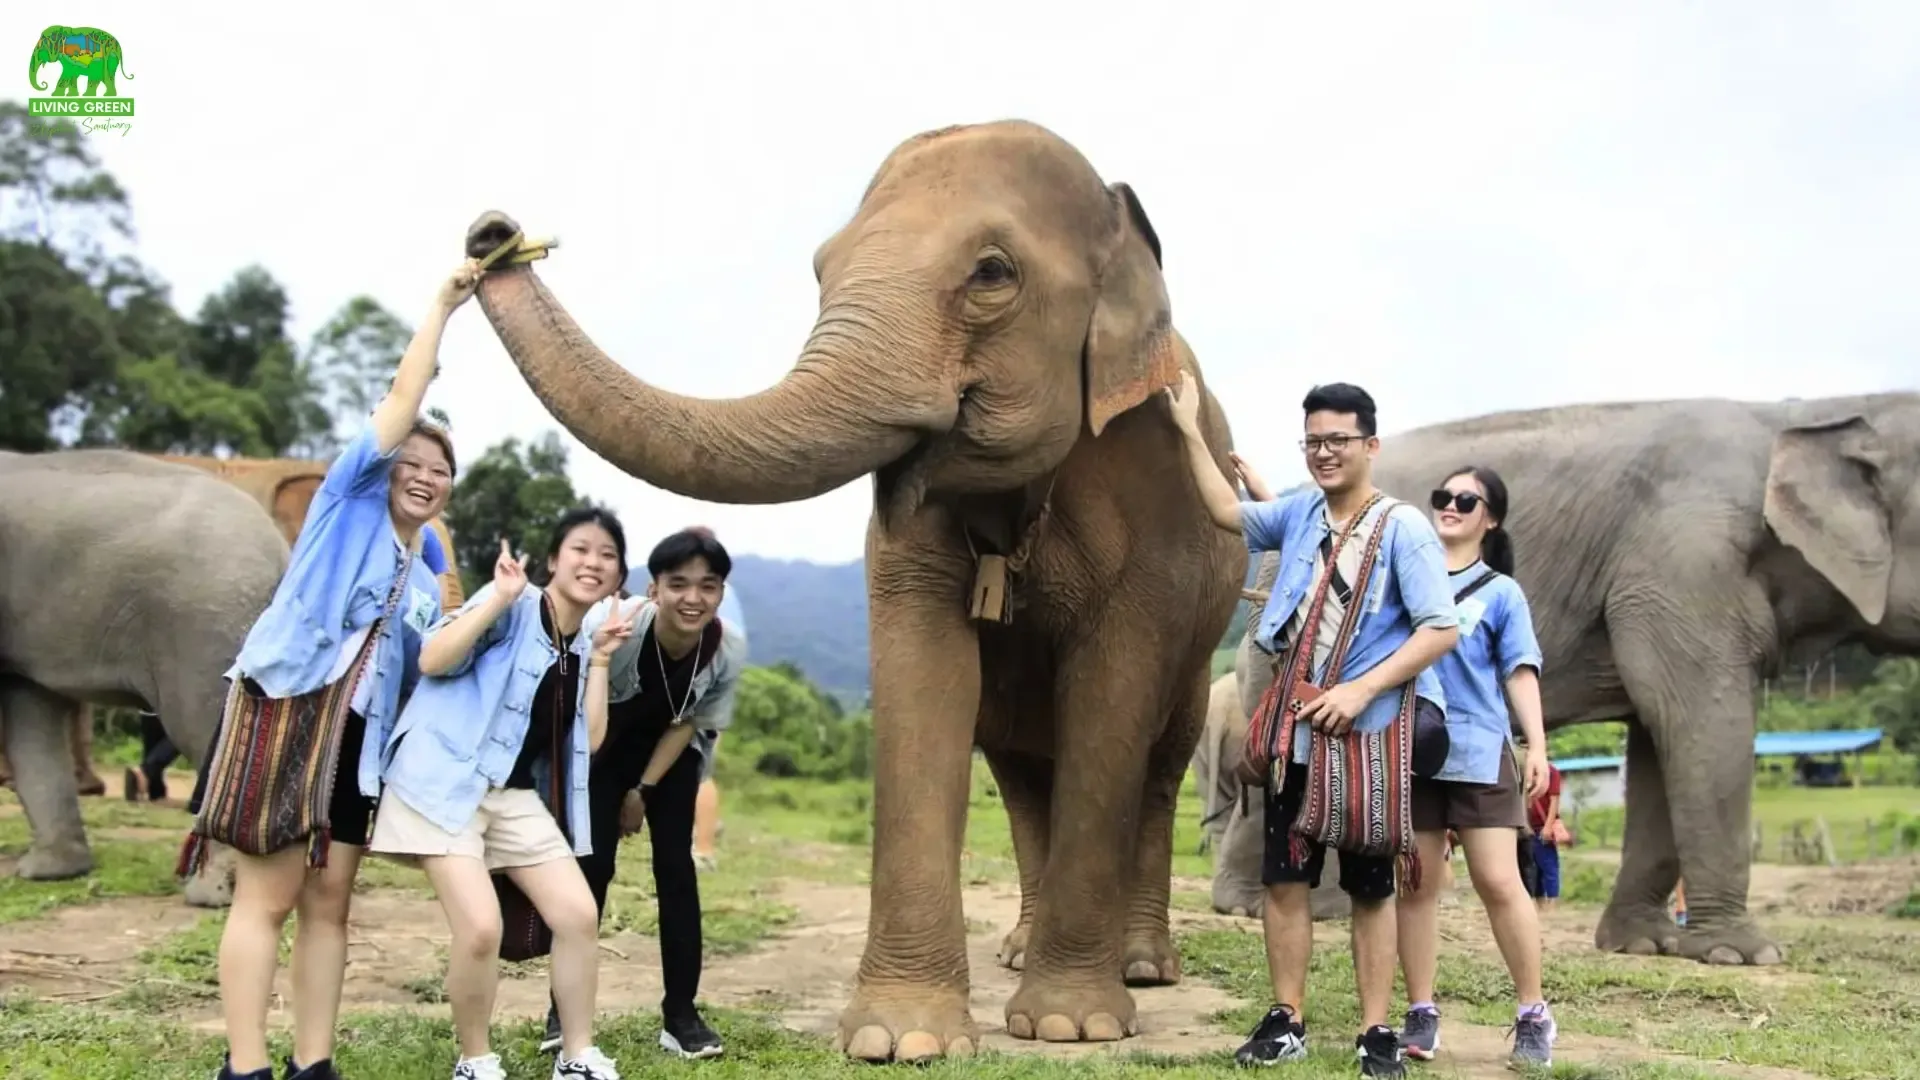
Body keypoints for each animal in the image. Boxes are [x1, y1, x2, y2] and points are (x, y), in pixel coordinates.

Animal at [0, 450, 287, 905]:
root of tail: (279, 546)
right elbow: (32, 715)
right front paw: (50, 873)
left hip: (202, 621)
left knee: (203, 726)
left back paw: (213, 894)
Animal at [457, 119, 1247, 1061]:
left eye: (993, 273)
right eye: (820, 270)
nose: (491, 236)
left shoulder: (1154, 497)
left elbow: (1110, 693)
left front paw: (1070, 1026)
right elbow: (927, 681)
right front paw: (899, 1041)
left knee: (1157, 764)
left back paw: (1139, 969)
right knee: (1020, 770)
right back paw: (1020, 951)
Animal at [1223, 393, 1920, 967]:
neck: (1805, 413)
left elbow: (1659, 736)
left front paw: (1644, 945)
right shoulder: (1683, 564)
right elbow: (1701, 724)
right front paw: (1742, 956)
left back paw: (1246, 905)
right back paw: (1318, 909)